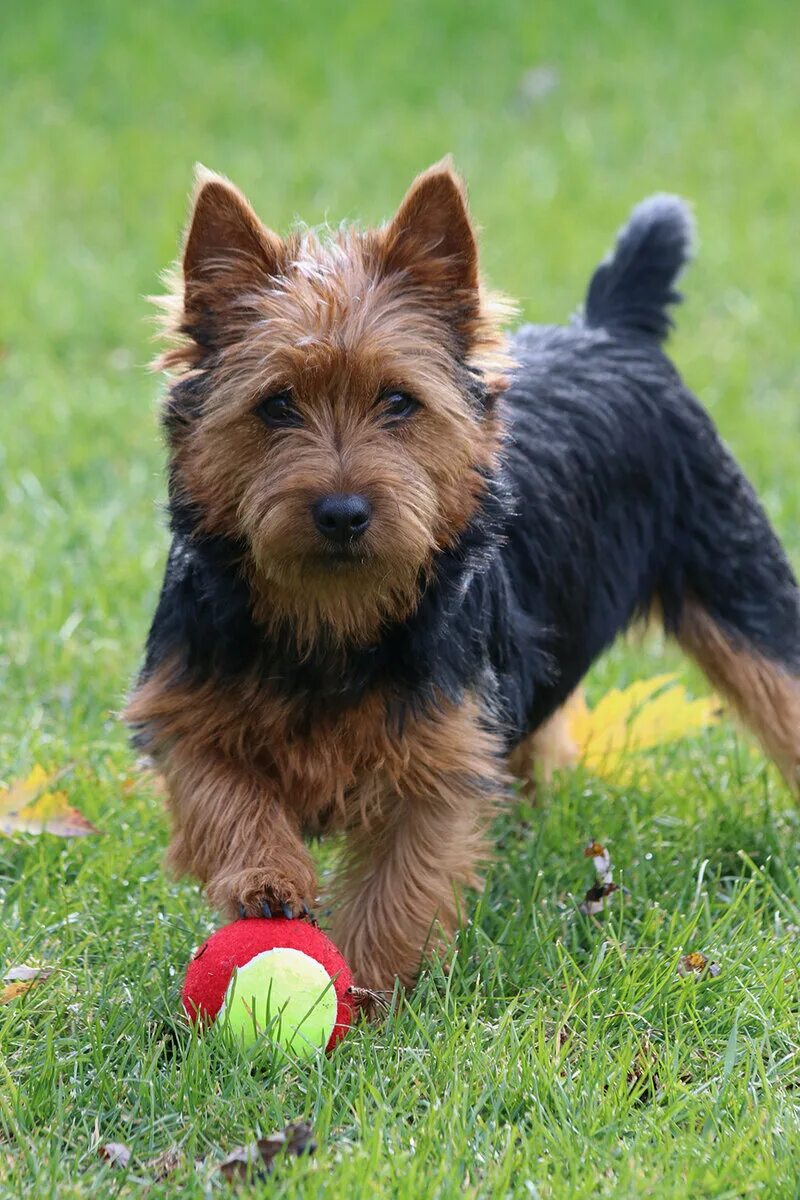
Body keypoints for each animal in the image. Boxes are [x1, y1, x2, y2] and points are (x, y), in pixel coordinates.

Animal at [125, 164, 800, 988]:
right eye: (276, 405)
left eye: (398, 401)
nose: (342, 513)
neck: (333, 617)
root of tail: (609, 329)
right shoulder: (182, 703)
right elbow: (219, 792)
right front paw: (267, 876)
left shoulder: (443, 759)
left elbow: (398, 887)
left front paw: (368, 991)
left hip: (741, 582)